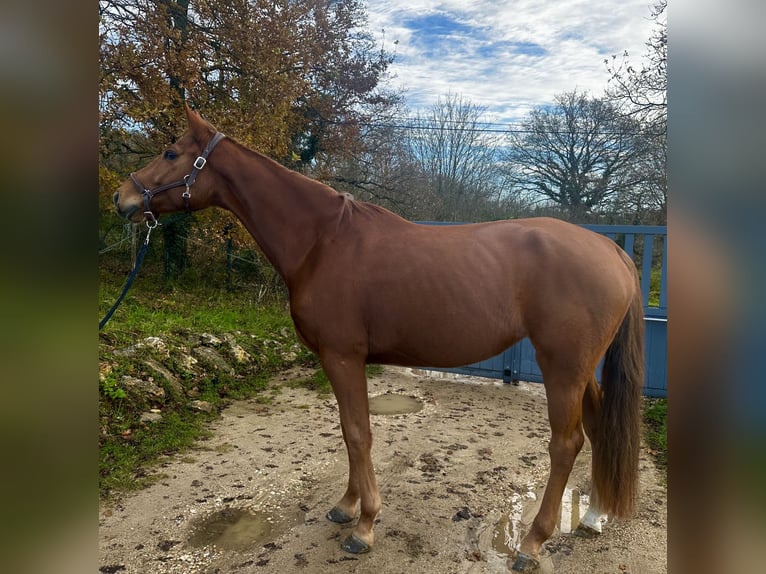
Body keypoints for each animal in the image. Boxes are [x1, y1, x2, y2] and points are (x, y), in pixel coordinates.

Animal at [111, 107, 644, 572]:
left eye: (172, 152)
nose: (122, 198)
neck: (322, 242)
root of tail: (612, 250)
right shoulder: (339, 361)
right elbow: (349, 431)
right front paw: (347, 507)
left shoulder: (343, 357)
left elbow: (358, 433)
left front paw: (363, 526)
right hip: (581, 369)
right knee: (598, 425)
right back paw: (594, 516)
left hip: (562, 367)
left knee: (566, 443)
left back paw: (533, 543)